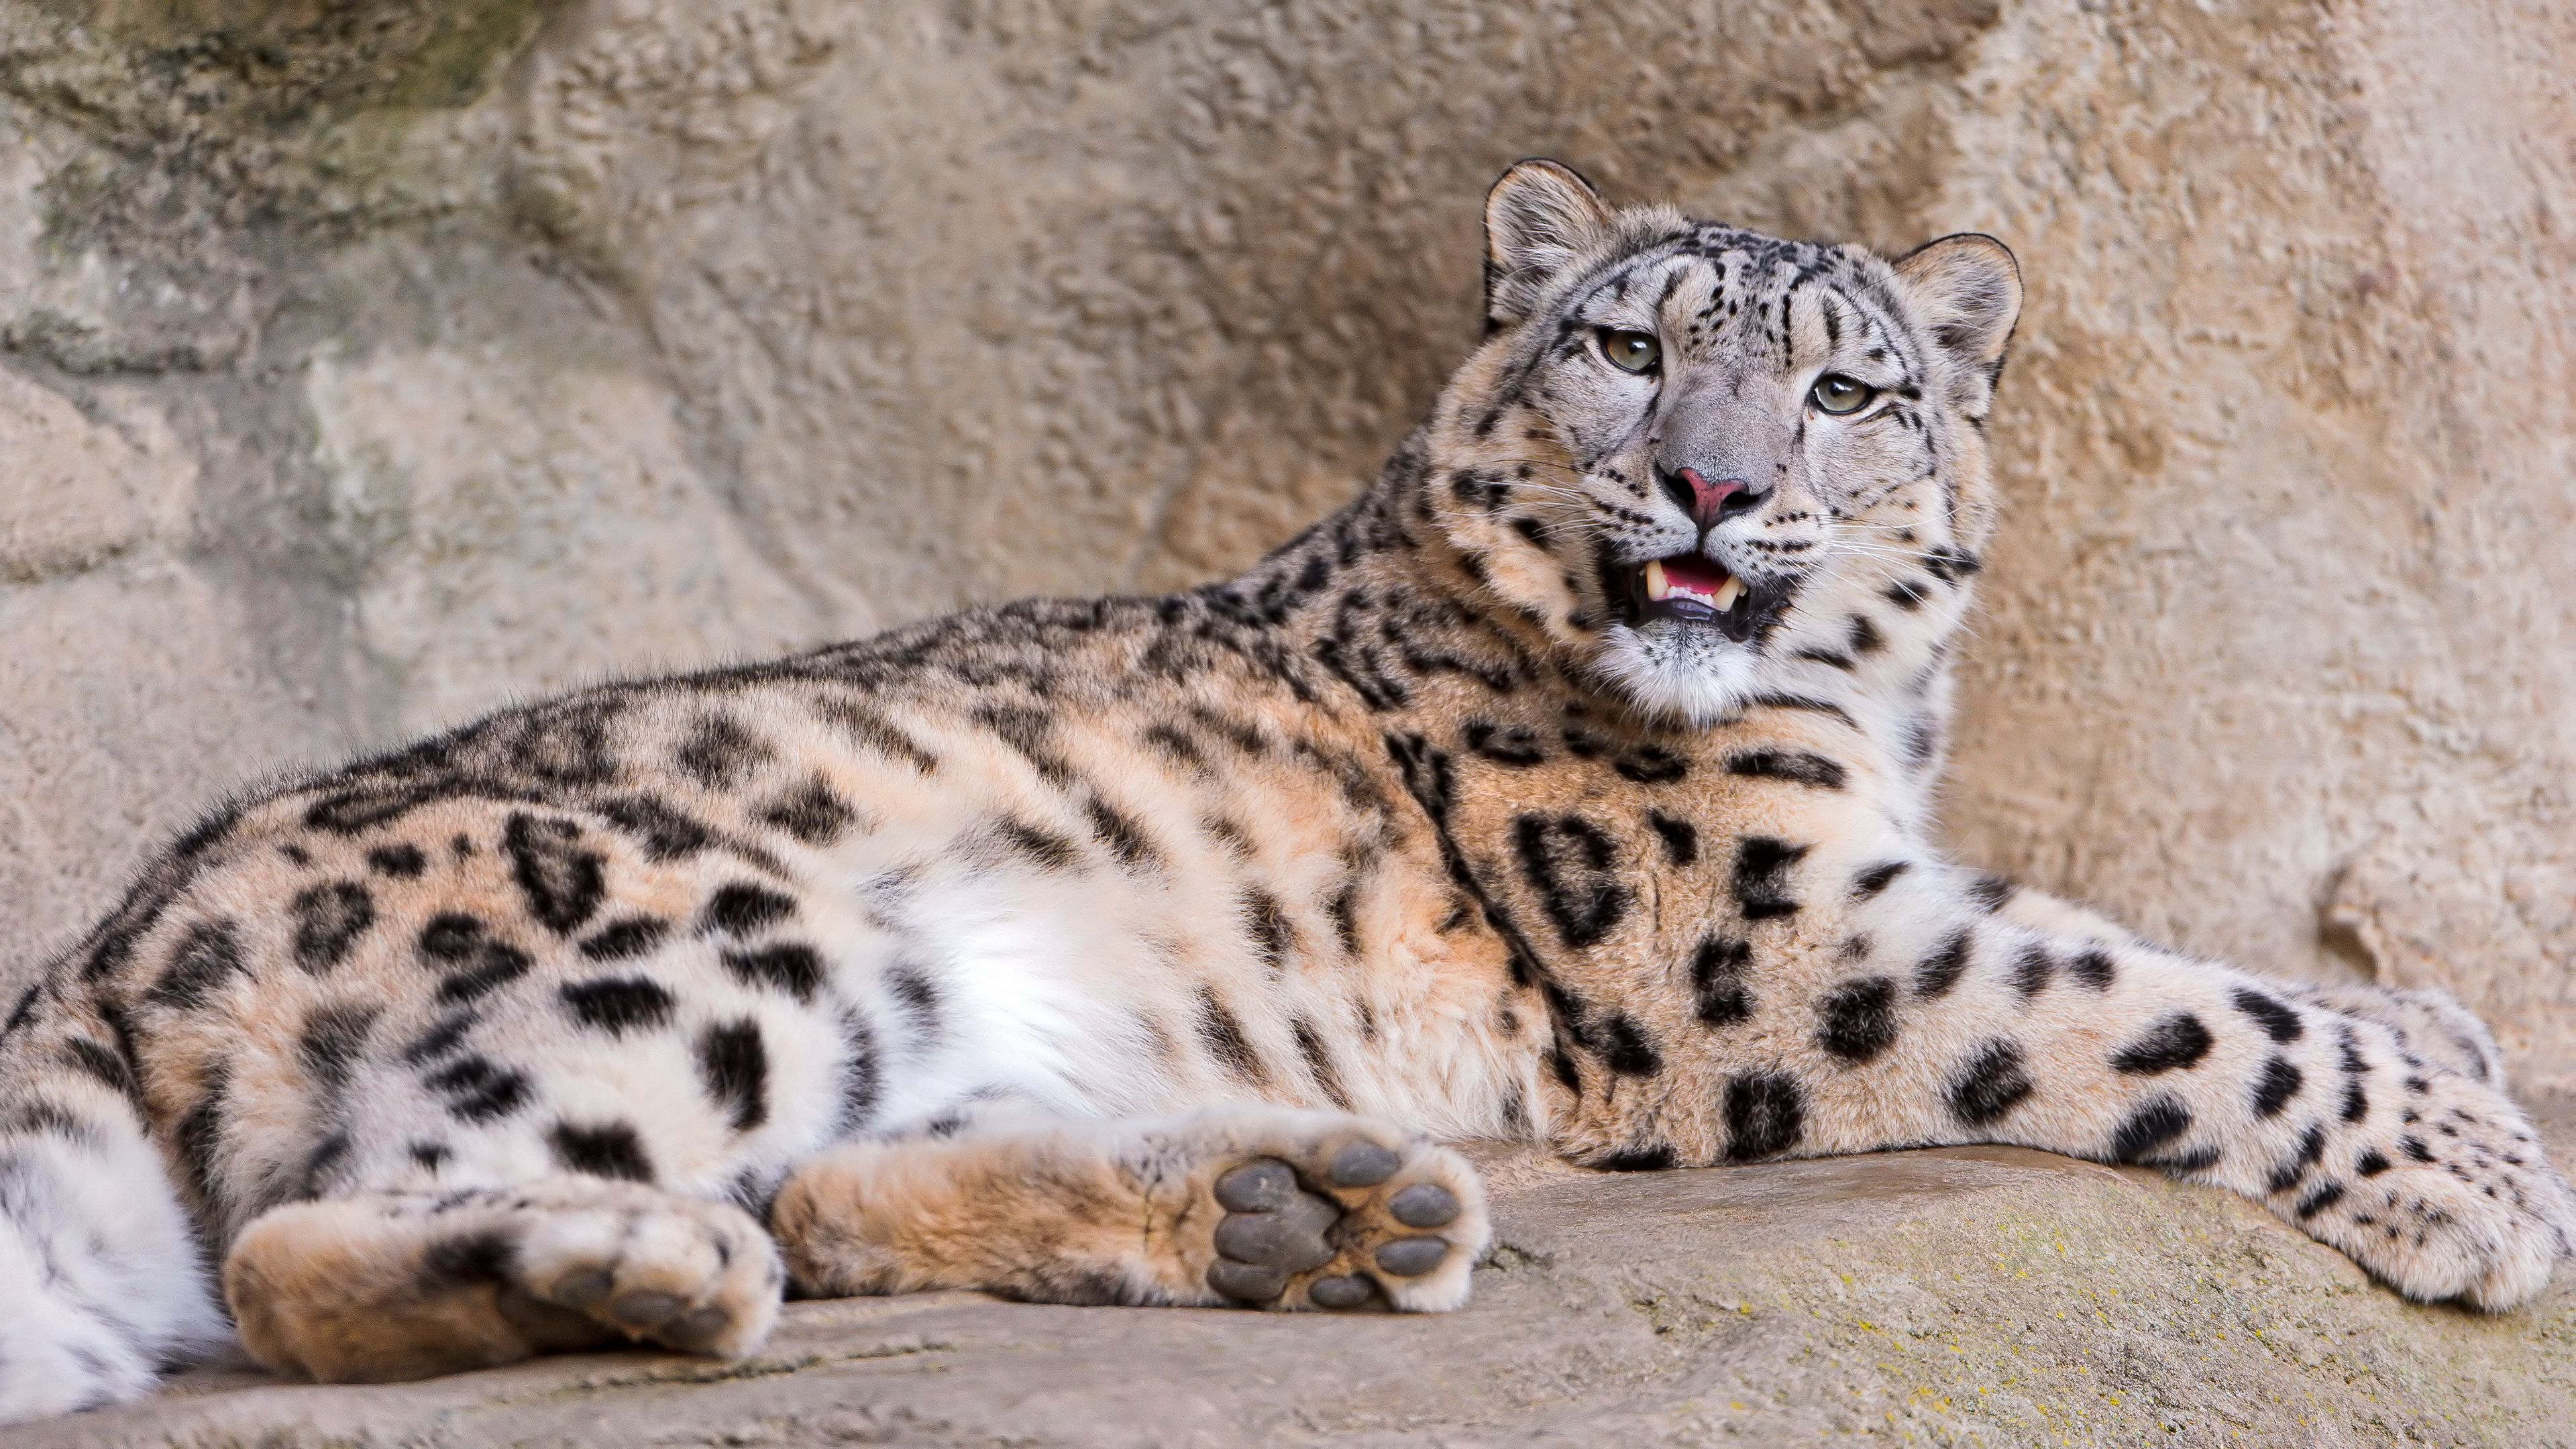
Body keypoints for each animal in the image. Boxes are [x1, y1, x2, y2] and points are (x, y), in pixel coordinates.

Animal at [1, 158, 2566, 1424]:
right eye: (1621, 347)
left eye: (1845, 391)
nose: (1713, 489)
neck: (1870, 726)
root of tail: (112, 940)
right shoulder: (1773, 938)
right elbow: (2151, 1000)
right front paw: (2475, 1167)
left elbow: (2168, 945)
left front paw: (2449, 1038)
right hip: (706, 935)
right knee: (314, 1248)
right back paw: (642, 1270)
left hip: (883, 1012)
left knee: (822, 1180)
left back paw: (1301, 1211)